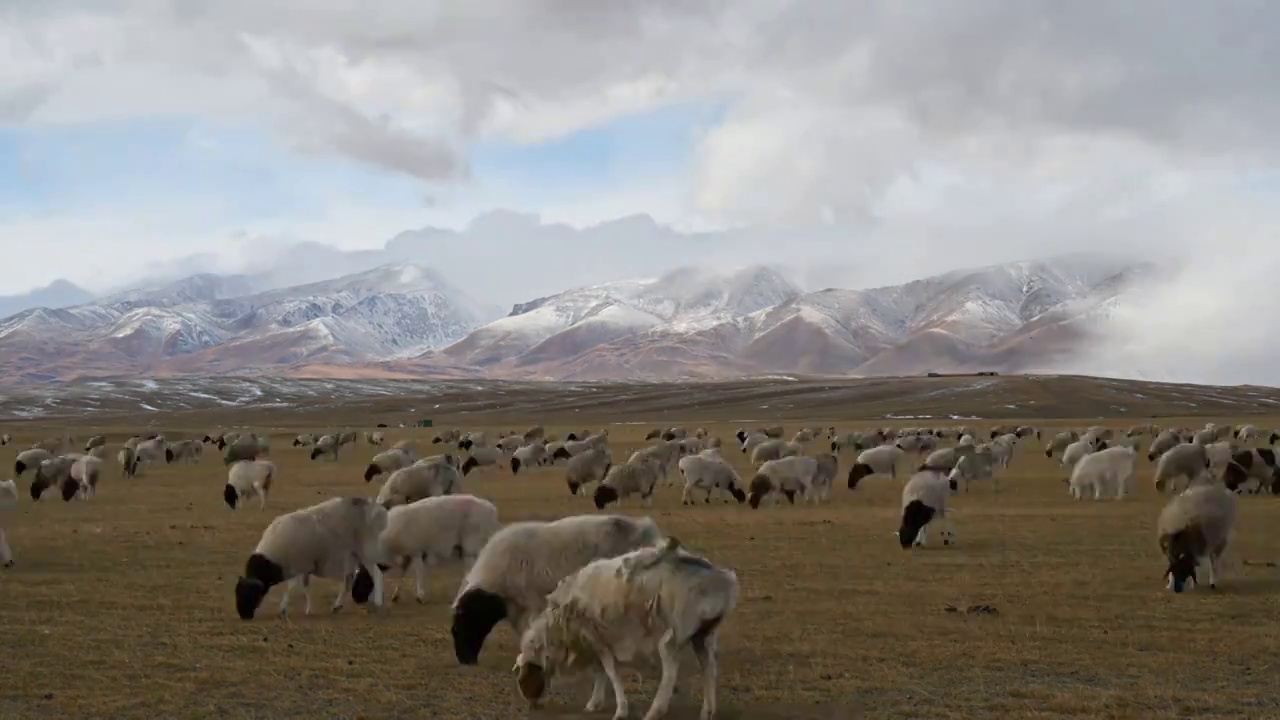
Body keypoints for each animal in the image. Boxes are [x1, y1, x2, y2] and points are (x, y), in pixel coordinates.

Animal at [230, 497, 389, 620]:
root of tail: (376, 510)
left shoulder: (298, 565)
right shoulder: (305, 566)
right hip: (353, 555)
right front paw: (309, 609)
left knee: (377, 574)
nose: (243, 616)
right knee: (349, 580)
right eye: (237, 592)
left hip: (366, 551)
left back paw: (377, 603)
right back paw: (341, 606)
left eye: (249, 593)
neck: (273, 560)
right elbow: (306, 587)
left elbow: (292, 587)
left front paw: (283, 610)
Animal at [350, 489, 499, 602]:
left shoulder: (416, 551)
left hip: (470, 544)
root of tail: (491, 510)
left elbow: (419, 571)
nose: (356, 599)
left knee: (470, 570)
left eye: (362, 578)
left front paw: (420, 595)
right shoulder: (409, 554)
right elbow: (403, 573)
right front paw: (396, 594)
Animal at [512, 535, 742, 717]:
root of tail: (720, 580)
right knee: (709, 667)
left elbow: (610, 671)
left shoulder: (596, 637)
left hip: (673, 635)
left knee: (671, 672)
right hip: (705, 633)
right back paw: (708, 711)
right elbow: (600, 671)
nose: (532, 704)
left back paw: (655, 711)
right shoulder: (597, 640)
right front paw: (595, 703)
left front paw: (620, 710)